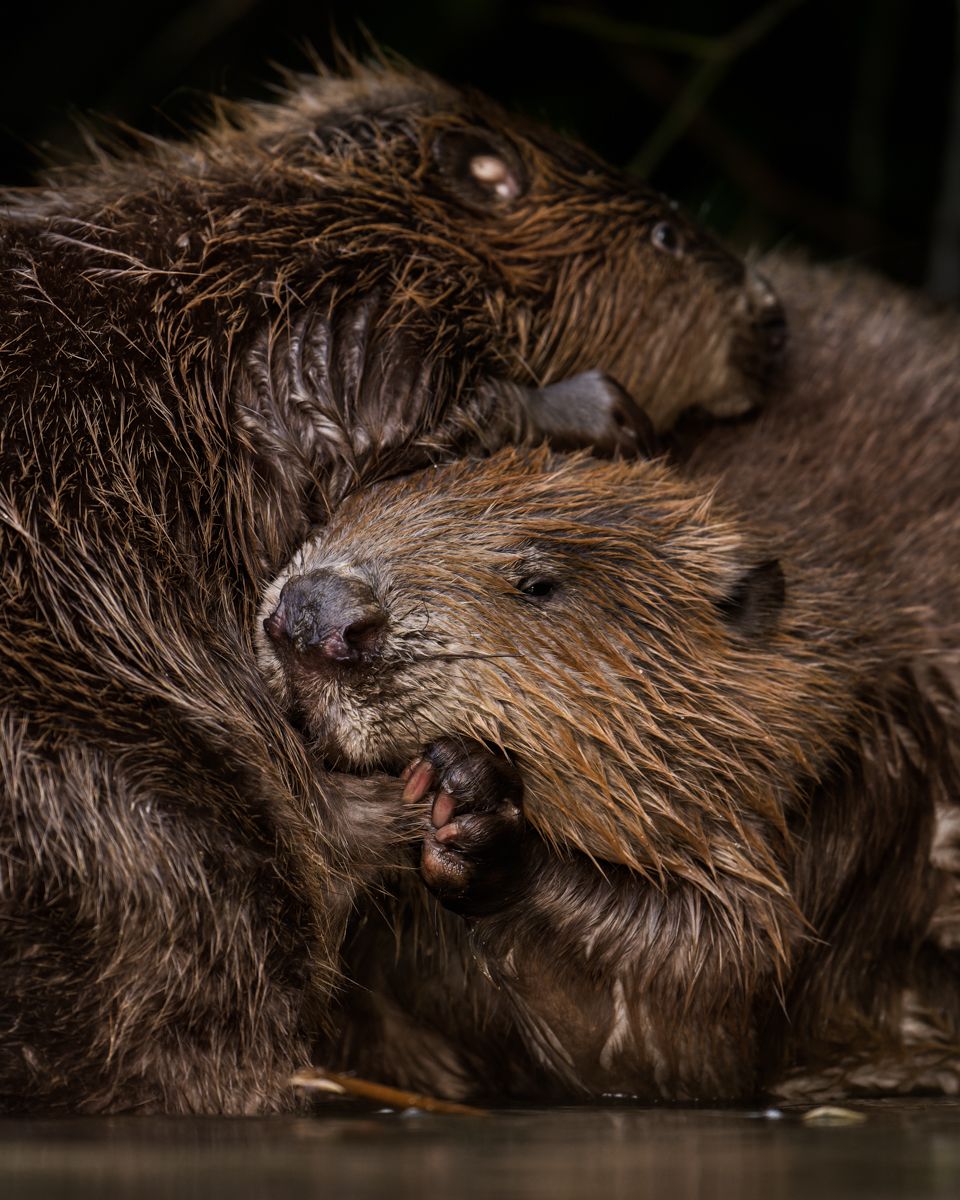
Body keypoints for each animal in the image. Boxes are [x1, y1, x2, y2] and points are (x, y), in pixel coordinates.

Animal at [260, 258, 960, 1099]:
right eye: (373, 494)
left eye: (539, 583)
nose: (315, 612)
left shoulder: (856, 779)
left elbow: (691, 1004)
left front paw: (472, 803)